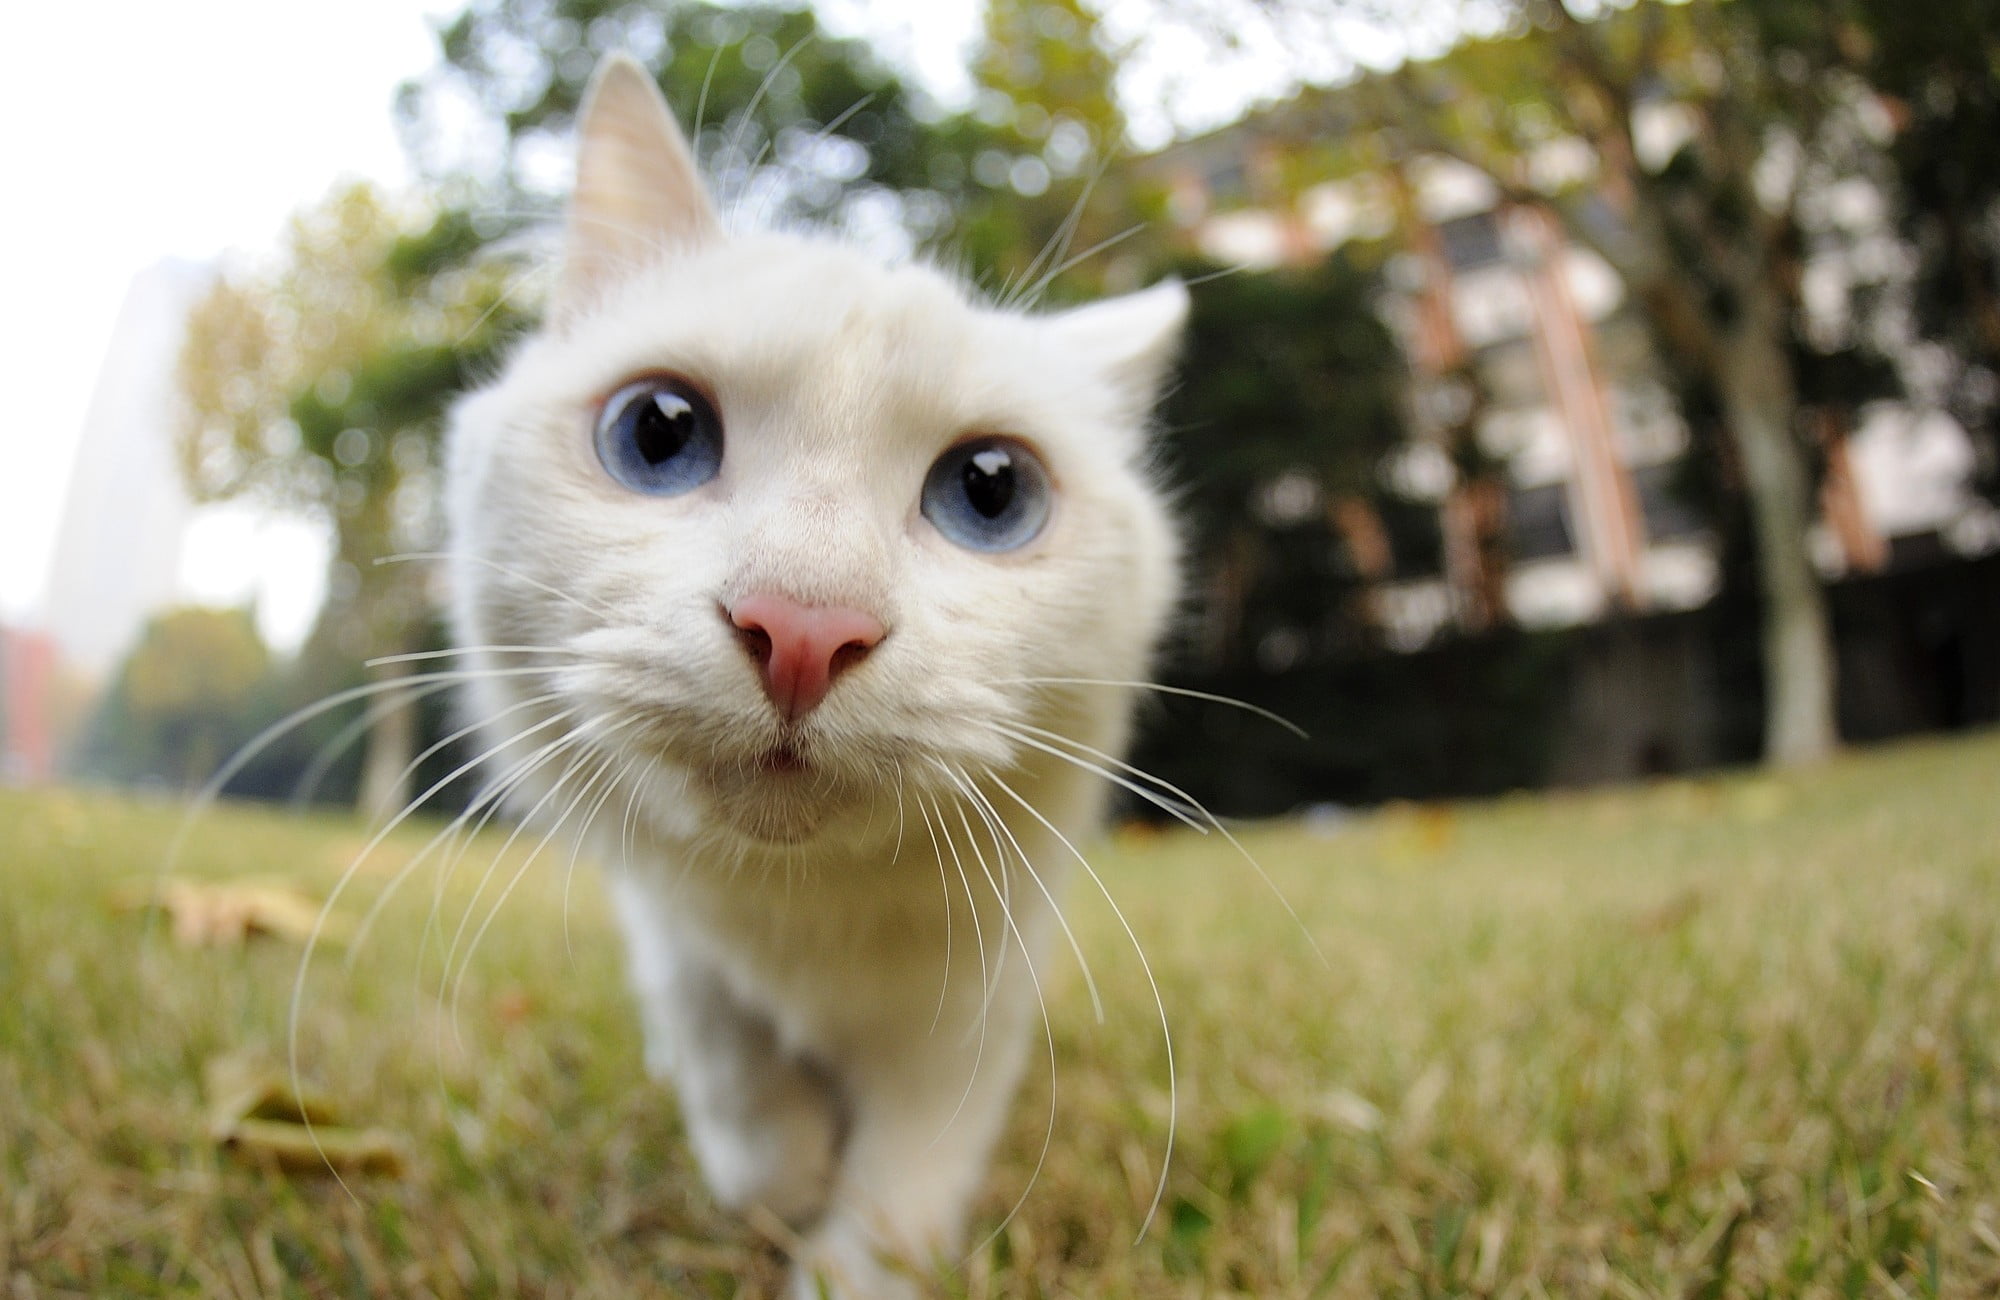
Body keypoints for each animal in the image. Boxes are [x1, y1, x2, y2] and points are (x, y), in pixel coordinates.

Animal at [446, 55, 1176, 1288]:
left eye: (991, 491)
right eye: (658, 432)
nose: (800, 626)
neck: (801, 918)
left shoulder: (976, 1002)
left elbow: (897, 1192)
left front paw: (845, 1268)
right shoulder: (675, 937)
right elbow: (732, 1072)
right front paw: (780, 1180)